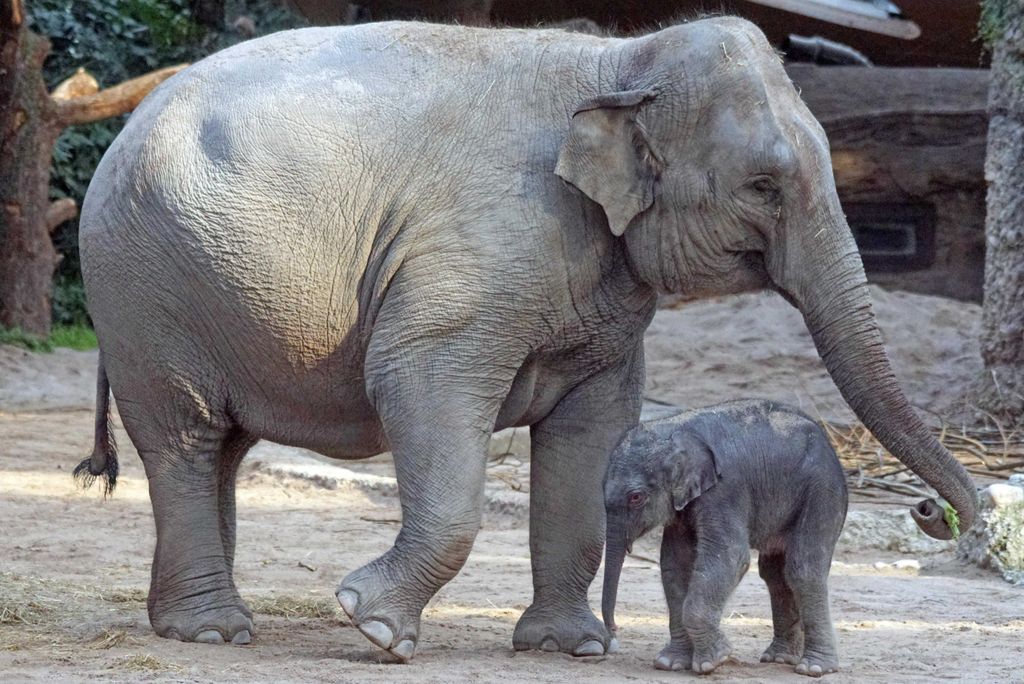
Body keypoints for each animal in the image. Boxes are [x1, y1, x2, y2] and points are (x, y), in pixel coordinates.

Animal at [601, 399, 848, 677]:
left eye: (636, 497)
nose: (614, 633)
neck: (675, 429)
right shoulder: (684, 504)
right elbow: (675, 565)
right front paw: (670, 663)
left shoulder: (725, 490)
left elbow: (730, 557)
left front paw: (714, 661)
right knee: (775, 573)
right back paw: (779, 658)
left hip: (821, 490)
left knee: (803, 568)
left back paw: (813, 667)